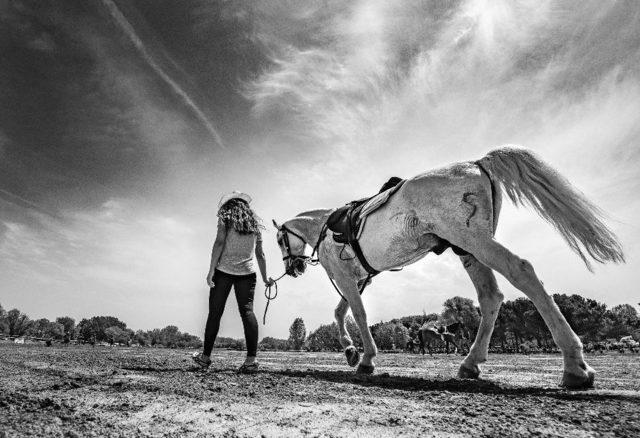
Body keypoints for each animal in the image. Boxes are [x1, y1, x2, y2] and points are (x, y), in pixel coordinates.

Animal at [272, 146, 624, 386]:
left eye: (279, 240)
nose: (293, 268)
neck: (324, 230)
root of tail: (477, 163)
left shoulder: (345, 278)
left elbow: (356, 314)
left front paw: (365, 358)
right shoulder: (358, 279)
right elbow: (340, 312)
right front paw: (350, 351)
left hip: (472, 239)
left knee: (521, 270)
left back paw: (574, 364)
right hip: (467, 249)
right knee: (491, 297)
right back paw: (471, 363)